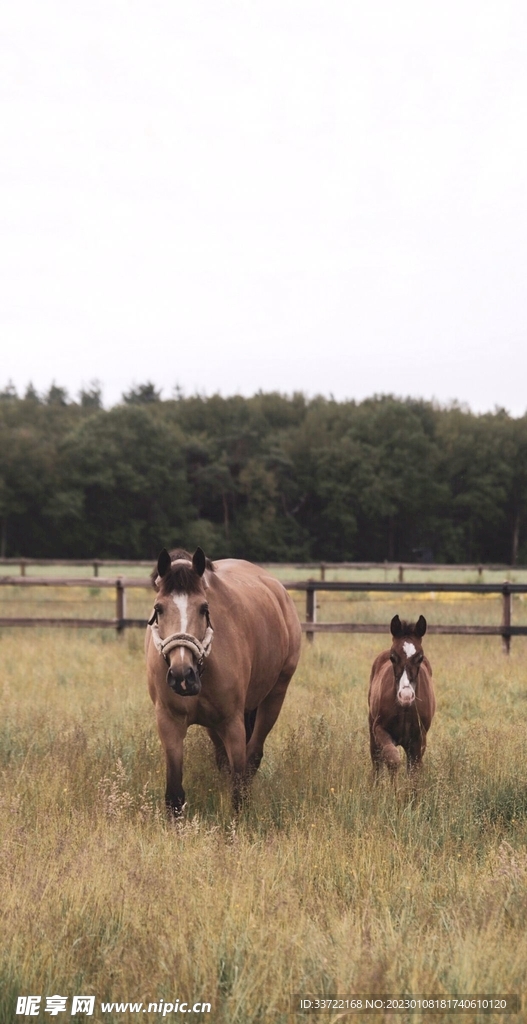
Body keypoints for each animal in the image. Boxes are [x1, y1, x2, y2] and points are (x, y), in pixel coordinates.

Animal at [145, 547, 302, 815]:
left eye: (203, 608)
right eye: (159, 608)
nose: (182, 675)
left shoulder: (232, 723)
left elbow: (238, 787)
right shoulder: (169, 722)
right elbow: (174, 795)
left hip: (274, 697)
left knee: (253, 757)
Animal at [368, 614, 435, 777]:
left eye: (420, 657)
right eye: (392, 657)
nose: (406, 695)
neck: (404, 708)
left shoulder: (419, 739)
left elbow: (414, 770)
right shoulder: (379, 729)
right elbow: (392, 759)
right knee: (377, 762)